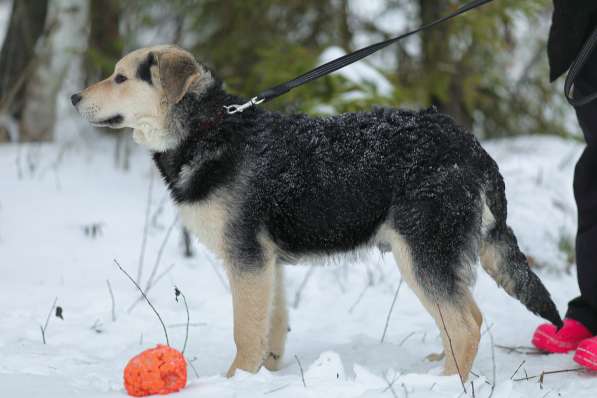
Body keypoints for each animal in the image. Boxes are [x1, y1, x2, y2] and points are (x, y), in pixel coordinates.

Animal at [72, 45, 560, 378]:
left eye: (120, 78)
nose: (74, 97)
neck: (207, 128)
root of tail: (471, 147)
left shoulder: (247, 259)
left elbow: (244, 331)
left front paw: (234, 380)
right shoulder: (267, 264)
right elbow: (271, 326)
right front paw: (266, 377)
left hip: (421, 252)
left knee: (467, 323)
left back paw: (443, 383)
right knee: (458, 319)